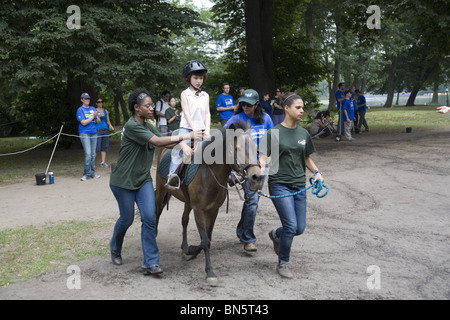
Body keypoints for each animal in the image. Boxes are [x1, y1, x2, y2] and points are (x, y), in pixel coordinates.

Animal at [155, 122, 262, 284]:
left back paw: (185, 247)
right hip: (161, 192)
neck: (209, 174)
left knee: (184, 220)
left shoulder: (213, 210)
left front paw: (192, 250)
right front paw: (210, 272)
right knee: (156, 213)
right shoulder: (199, 210)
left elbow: (208, 237)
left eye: (255, 147)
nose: (256, 177)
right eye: (237, 148)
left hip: (188, 202)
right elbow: (205, 240)